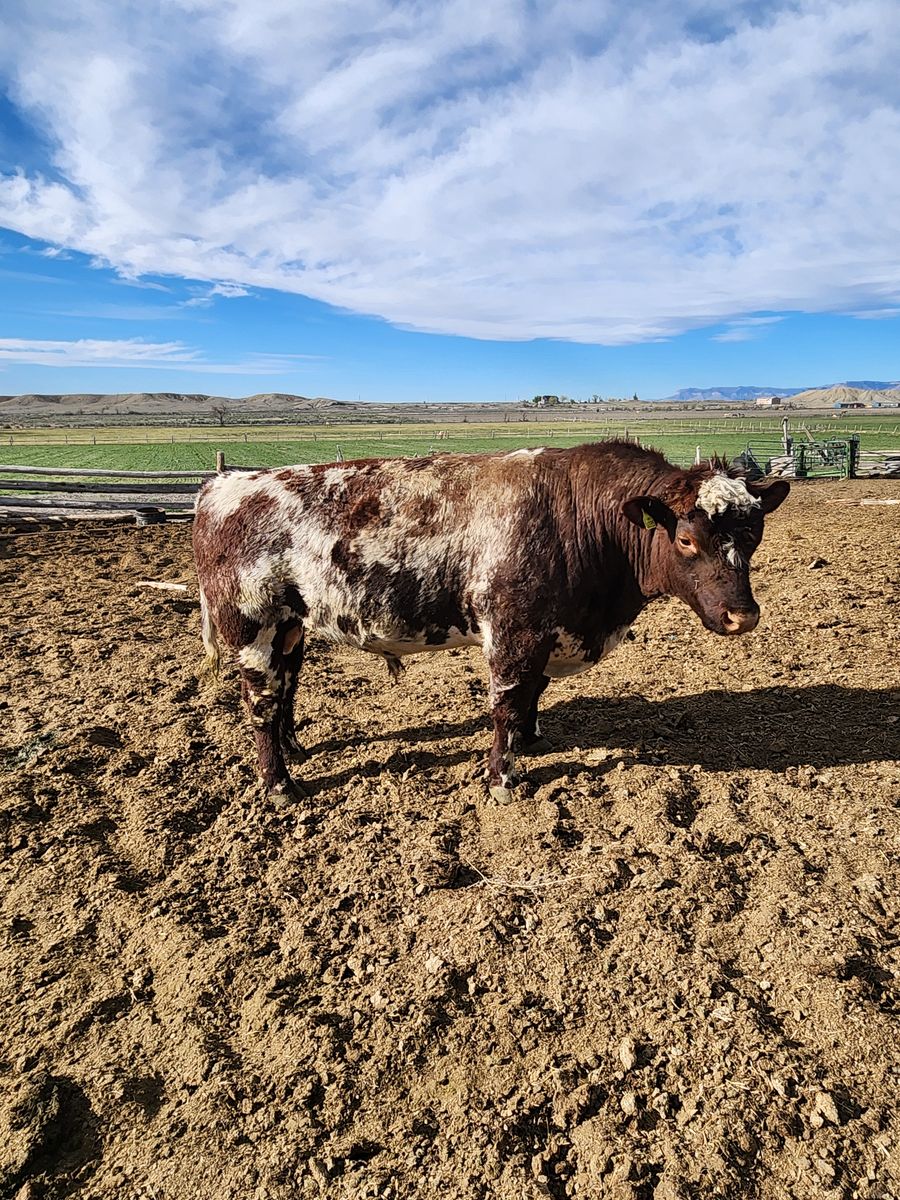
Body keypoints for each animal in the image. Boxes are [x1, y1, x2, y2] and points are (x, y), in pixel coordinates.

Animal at [192, 441, 789, 802]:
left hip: (292, 626)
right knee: (261, 703)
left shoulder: (546, 634)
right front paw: (503, 776)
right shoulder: (512, 632)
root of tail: (223, 485)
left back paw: (295, 748)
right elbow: (505, 702)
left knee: (287, 687)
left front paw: (531, 740)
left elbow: (532, 694)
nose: (742, 615)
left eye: (755, 533)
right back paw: (278, 784)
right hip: (253, 627)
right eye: (686, 539)